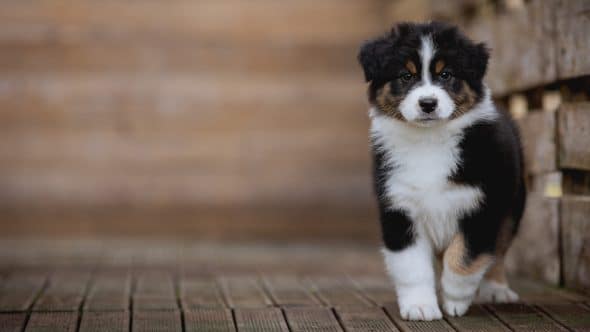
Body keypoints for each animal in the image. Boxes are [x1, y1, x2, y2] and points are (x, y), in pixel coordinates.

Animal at [356, 22, 528, 320]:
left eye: (446, 74)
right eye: (405, 75)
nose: (428, 103)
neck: (429, 141)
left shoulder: (482, 208)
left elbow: (464, 258)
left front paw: (455, 300)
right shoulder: (399, 209)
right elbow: (412, 267)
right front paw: (420, 307)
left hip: (513, 205)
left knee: (499, 250)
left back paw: (496, 290)